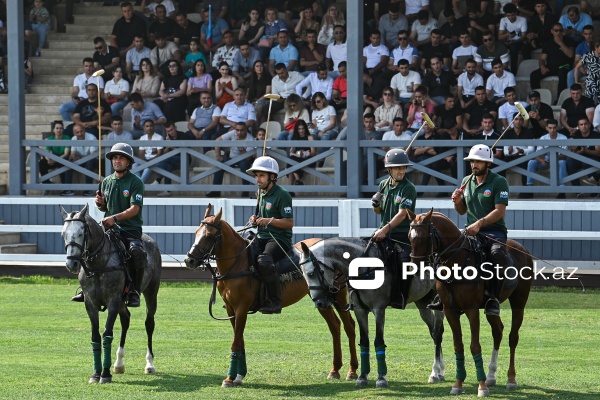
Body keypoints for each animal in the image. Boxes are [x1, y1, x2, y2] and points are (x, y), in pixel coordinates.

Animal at [59, 205, 162, 382]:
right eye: (63, 234)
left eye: (81, 233)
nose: (71, 264)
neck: (98, 263)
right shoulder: (90, 303)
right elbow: (95, 336)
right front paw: (96, 374)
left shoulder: (113, 300)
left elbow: (107, 334)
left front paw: (105, 374)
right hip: (122, 302)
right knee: (126, 320)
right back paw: (119, 363)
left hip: (151, 292)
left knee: (149, 323)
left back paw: (149, 364)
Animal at [183, 205, 358, 386]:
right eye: (196, 232)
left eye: (209, 235)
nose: (189, 260)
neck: (238, 263)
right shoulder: (231, 309)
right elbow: (239, 340)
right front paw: (239, 375)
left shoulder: (241, 308)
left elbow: (235, 343)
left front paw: (230, 378)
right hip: (319, 297)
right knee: (335, 325)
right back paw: (335, 370)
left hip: (338, 294)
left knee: (349, 326)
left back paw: (352, 371)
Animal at [300, 238, 446, 388]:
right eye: (304, 275)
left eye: (311, 273)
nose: (319, 303)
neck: (364, 267)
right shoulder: (360, 310)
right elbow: (364, 341)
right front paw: (362, 376)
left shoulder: (379, 309)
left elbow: (378, 341)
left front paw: (381, 378)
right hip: (423, 303)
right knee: (433, 332)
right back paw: (440, 371)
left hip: (438, 303)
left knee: (437, 333)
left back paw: (435, 373)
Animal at [408, 209, 536, 396]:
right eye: (409, 236)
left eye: (425, 237)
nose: (413, 268)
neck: (457, 262)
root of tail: (522, 249)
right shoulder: (450, 311)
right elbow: (458, 346)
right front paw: (458, 384)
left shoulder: (472, 310)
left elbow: (475, 346)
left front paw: (481, 387)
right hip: (491, 308)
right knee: (498, 331)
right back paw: (491, 376)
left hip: (519, 300)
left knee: (513, 337)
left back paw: (511, 379)